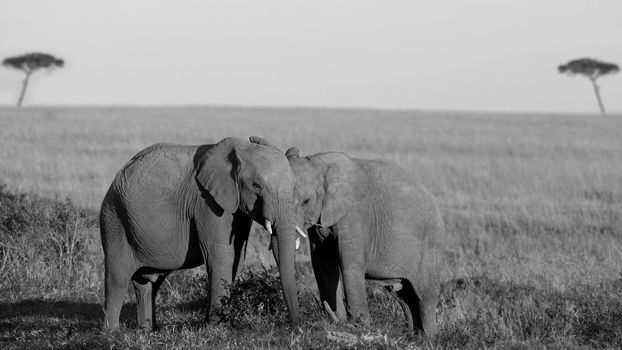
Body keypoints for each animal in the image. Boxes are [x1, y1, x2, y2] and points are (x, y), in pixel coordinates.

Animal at [100, 137, 304, 330]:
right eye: (256, 186)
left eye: (295, 187)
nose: (291, 324)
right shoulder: (206, 203)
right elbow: (222, 256)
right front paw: (216, 326)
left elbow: (238, 258)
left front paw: (217, 321)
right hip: (114, 219)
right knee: (117, 279)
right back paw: (112, 333)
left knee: (149, 282)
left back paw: (148, 330)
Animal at [286, 146, 444, 334]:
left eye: (306, 201)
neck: (318, 164)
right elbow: (323, 264)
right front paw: (337, 321)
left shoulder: (356, 213)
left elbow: (350, 264)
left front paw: (360, 327)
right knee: (404, 295)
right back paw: (412, 336)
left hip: (430, 244)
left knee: (425, 295)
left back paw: (429, 337)